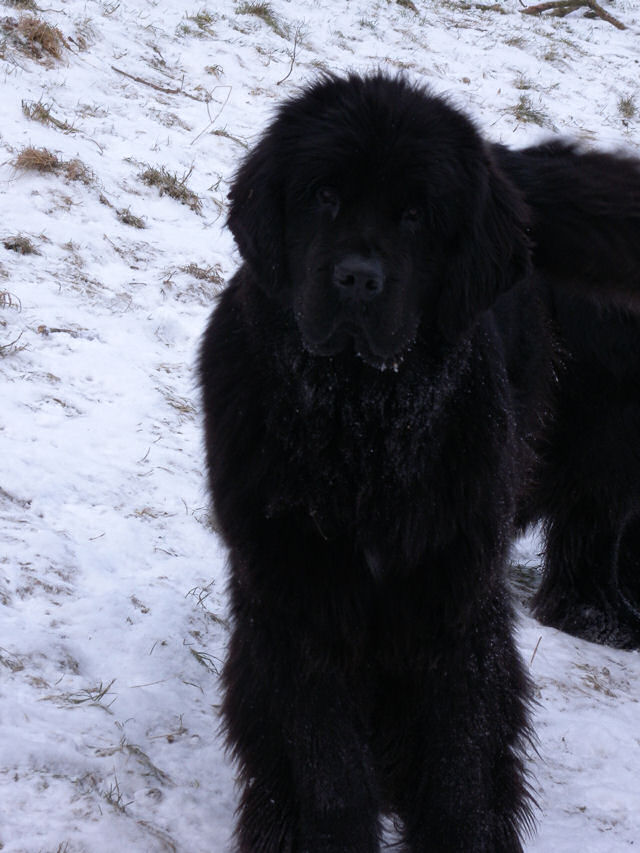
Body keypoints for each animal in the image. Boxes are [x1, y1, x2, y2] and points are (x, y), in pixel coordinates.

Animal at [200, 75, 640, 852]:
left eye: (415, 215)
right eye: (323, 194)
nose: (356, 279)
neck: (360, 426)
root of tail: (508, 162)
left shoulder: (452, 598)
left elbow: (460, 755)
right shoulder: (299, 598)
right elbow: (328, 763)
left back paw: (603, 614)